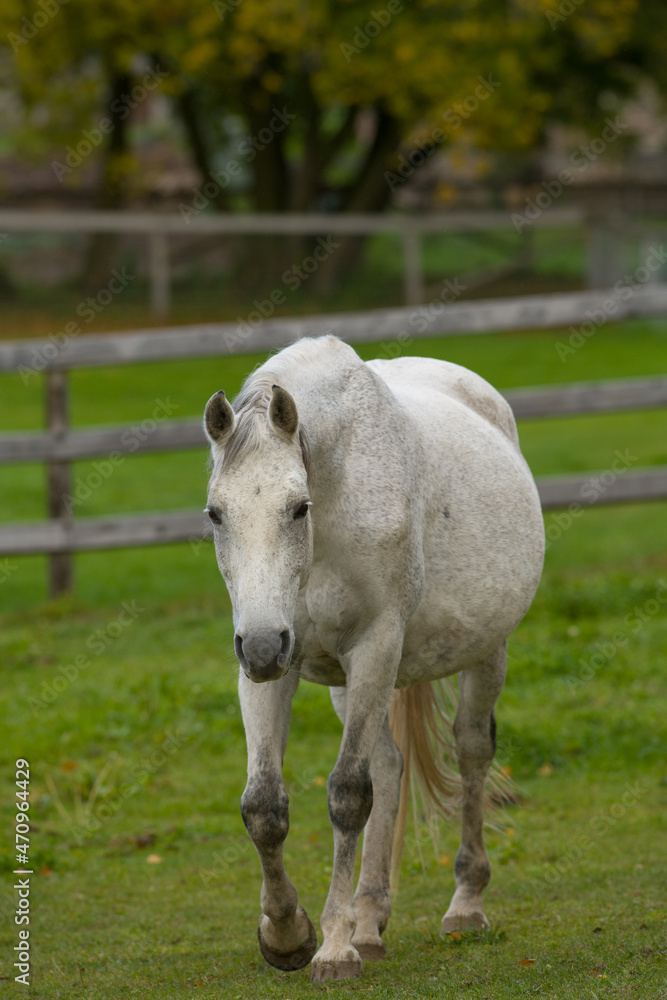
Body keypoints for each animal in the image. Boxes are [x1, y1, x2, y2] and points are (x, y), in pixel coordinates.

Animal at [202, 338, 544, 984]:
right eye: (215, 513)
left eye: (298, 507)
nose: (260, 646)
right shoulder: (269, 664)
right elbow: (264, 805)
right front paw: (287, 935)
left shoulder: (375, 646)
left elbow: (346, 795)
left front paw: (332, 948)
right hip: (342, 681)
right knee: (388, 765)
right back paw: (369, 921)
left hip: (484, 652)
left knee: (470, 750)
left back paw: (465, 905)